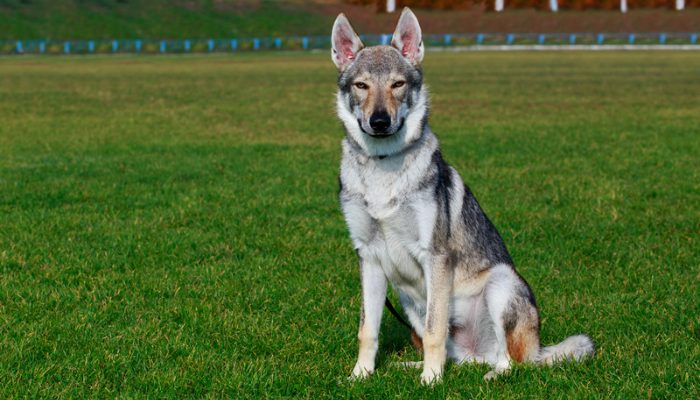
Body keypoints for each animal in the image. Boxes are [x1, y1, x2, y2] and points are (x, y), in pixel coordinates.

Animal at [334, 8, 596, 384]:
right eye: (362, 85)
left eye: (397, 84)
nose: (380, 121)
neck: (383, 164)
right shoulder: (368, 257)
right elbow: (367, 330)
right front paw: (360, 376)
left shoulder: (435, 257)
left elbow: (434, 331)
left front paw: (430, 382)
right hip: (408, 301)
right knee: (460, 357)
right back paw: (412, 366)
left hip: (501, 282)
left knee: (511, 361)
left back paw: (492, 377)